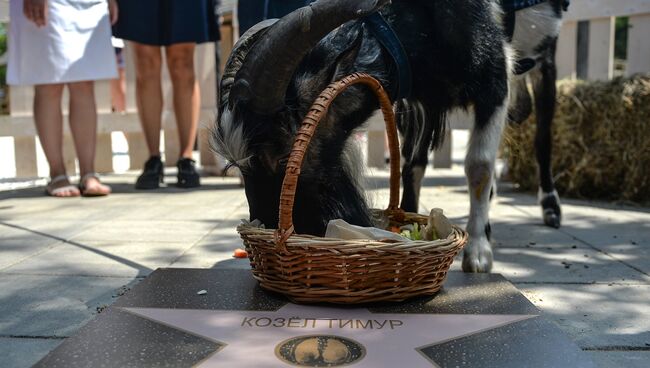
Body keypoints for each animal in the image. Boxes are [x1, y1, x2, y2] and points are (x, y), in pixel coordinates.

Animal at [216, 0, 512, 272]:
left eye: (281, 156)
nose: (264, 224)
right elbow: (410, 164)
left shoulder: (495, 80)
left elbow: (479, 167)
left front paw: (478, 253)